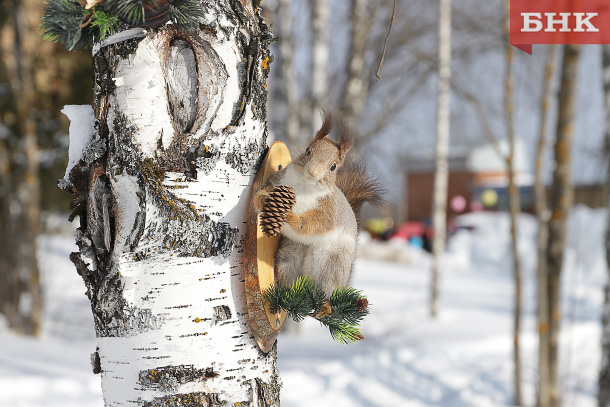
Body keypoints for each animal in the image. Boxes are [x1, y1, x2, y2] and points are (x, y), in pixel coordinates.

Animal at [254, 110, 382, 298]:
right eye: (308, 151)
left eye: (333, 166)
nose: (312, 172)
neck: (304, 186)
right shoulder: (278, 180)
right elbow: (263, 192)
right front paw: (262, 198)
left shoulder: (330, 209)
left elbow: (318, 223)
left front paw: (292, 218)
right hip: (289, 253)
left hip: (331, 262)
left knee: (326, 288)